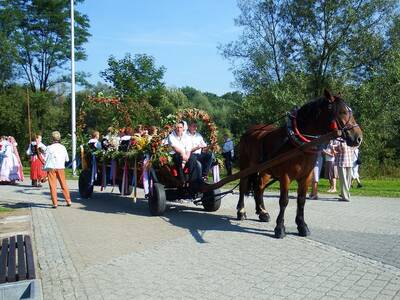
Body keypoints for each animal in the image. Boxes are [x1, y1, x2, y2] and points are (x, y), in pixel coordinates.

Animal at [236, 90, 364, 238]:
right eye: (342, 112)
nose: (358, 138)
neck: (298, 143)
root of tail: (249, 131)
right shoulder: (285, 176)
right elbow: (284, 201)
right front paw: (280, 227)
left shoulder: (306, 176)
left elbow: (301, 200)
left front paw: (302, 225)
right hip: (246, 166)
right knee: (243, 185)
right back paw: (241, 211)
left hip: (265, 170)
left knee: (259, 187)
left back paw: (262, 212)